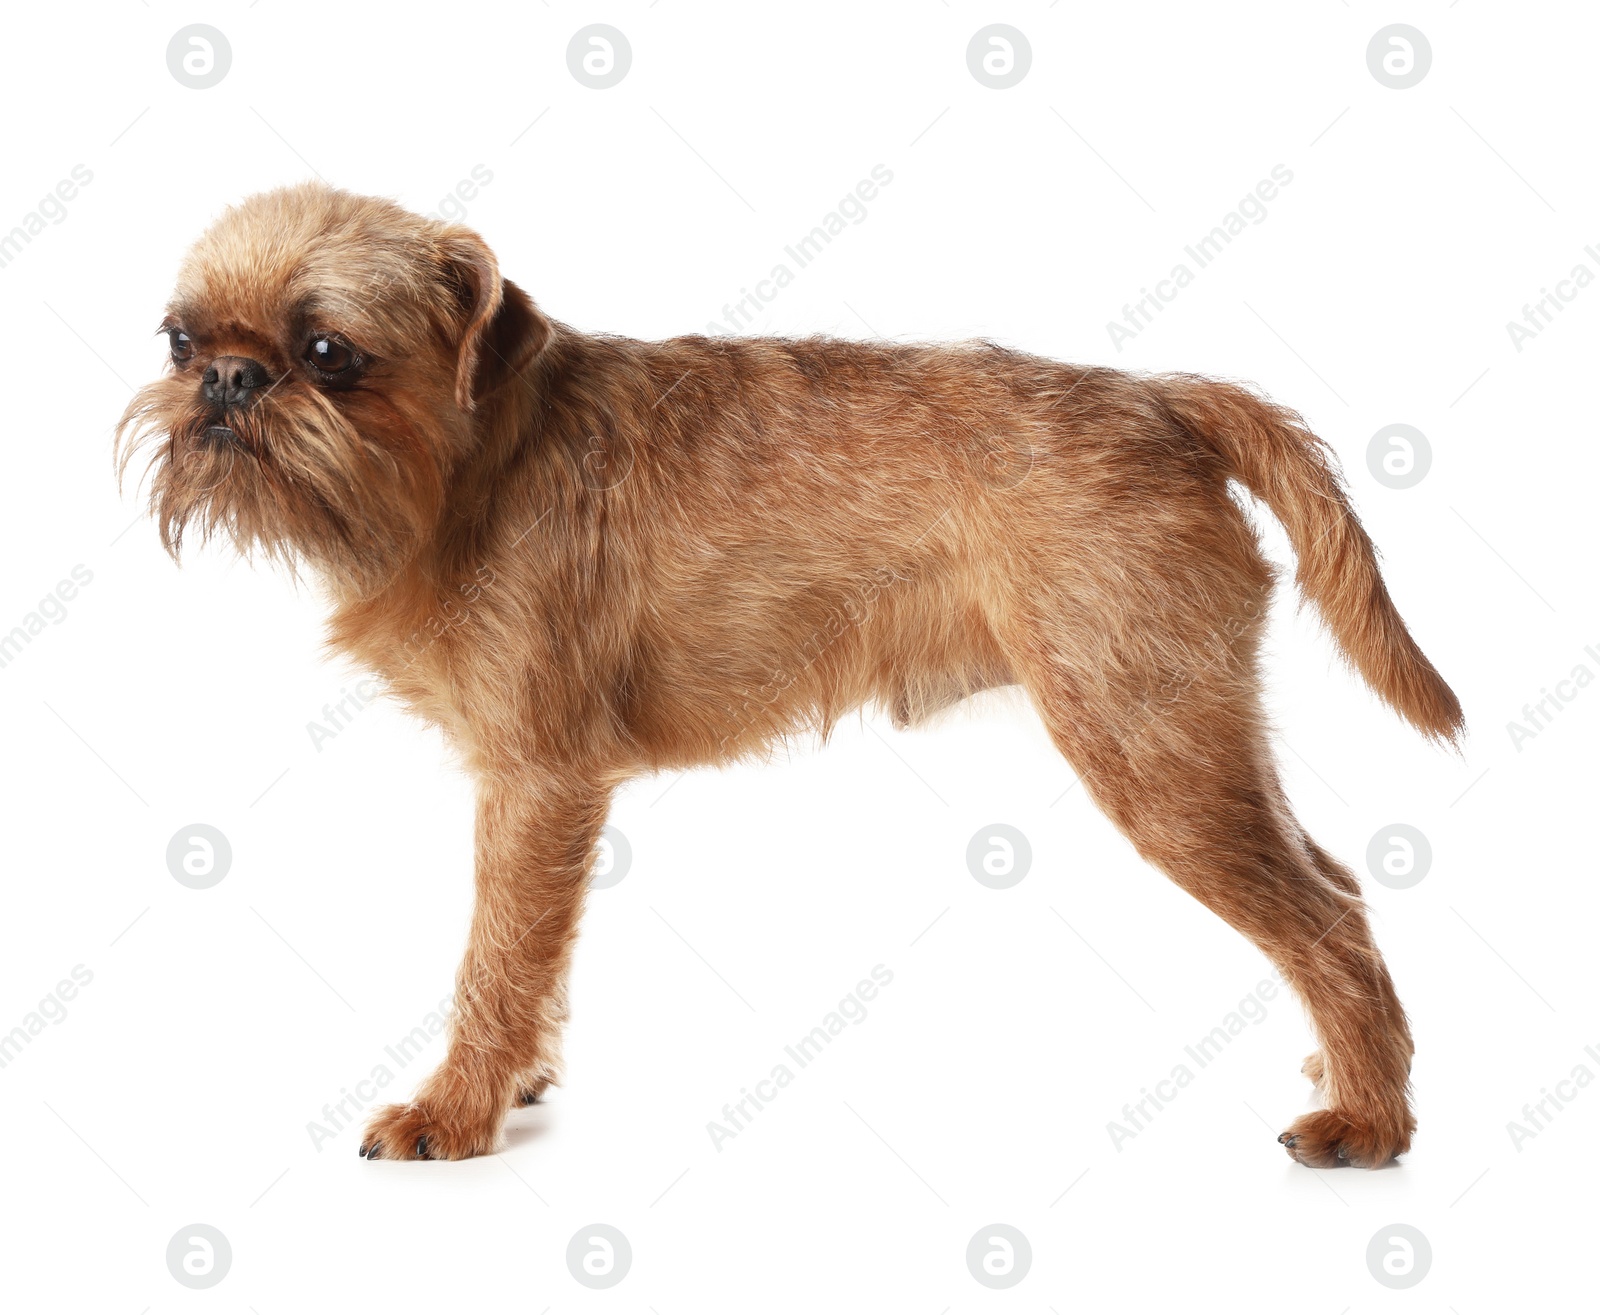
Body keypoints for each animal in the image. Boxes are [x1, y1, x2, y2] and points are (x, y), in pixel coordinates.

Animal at [116, 179, 1465, 1171]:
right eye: (182, 341)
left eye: (328, 351)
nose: (227, 379)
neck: (474, 455)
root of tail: (1168, 401)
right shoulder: (539, 798)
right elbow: (533, 957)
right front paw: (520, 1080)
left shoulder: (537, 783)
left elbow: (494, 957)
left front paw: (455, 1110)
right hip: (1190, 735)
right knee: (1334, 880)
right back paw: (1355, 1072)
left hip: (1145, 747)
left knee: (1327, 916)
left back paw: (1369, 1120)